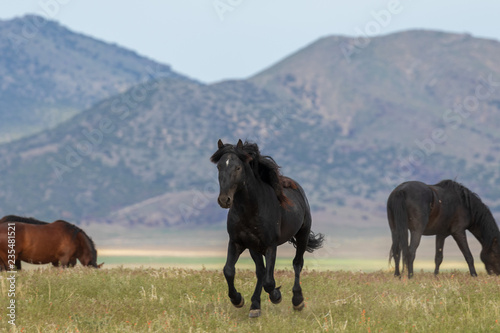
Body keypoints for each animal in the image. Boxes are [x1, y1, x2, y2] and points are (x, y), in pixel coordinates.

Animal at [210, 139, 324, 316]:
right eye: (219, 167)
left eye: (238, 167)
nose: (224, 200)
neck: (251, 209)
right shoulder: (237, 242)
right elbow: (228, 270)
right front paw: (238, 299)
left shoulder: (271, 245)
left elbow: (270, 282)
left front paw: (276, 295)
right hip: (255, 248)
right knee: (261, 271)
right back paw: (255, 306)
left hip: (302, 235)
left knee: (297, 263)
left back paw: (297, 301)